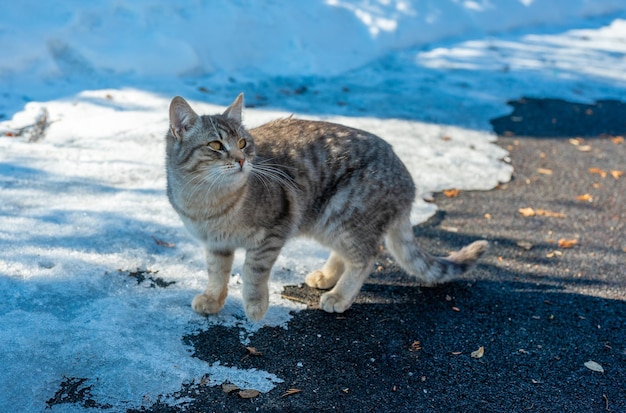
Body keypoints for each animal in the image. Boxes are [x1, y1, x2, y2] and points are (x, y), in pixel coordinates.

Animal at [163, 95, 486, 320]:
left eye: (243, 143)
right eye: (216, 146)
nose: (242, 160)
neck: (208, 203)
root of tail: (409, 182)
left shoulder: (271, 234)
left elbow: (253, 272)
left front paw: (255, 306)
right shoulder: (216, 245)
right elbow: (216, 274)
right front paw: (213, 300)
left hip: (342, 214)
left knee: (366, 257)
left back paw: (339, 295)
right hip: (328, 222)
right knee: (346, 254)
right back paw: (327, 277)